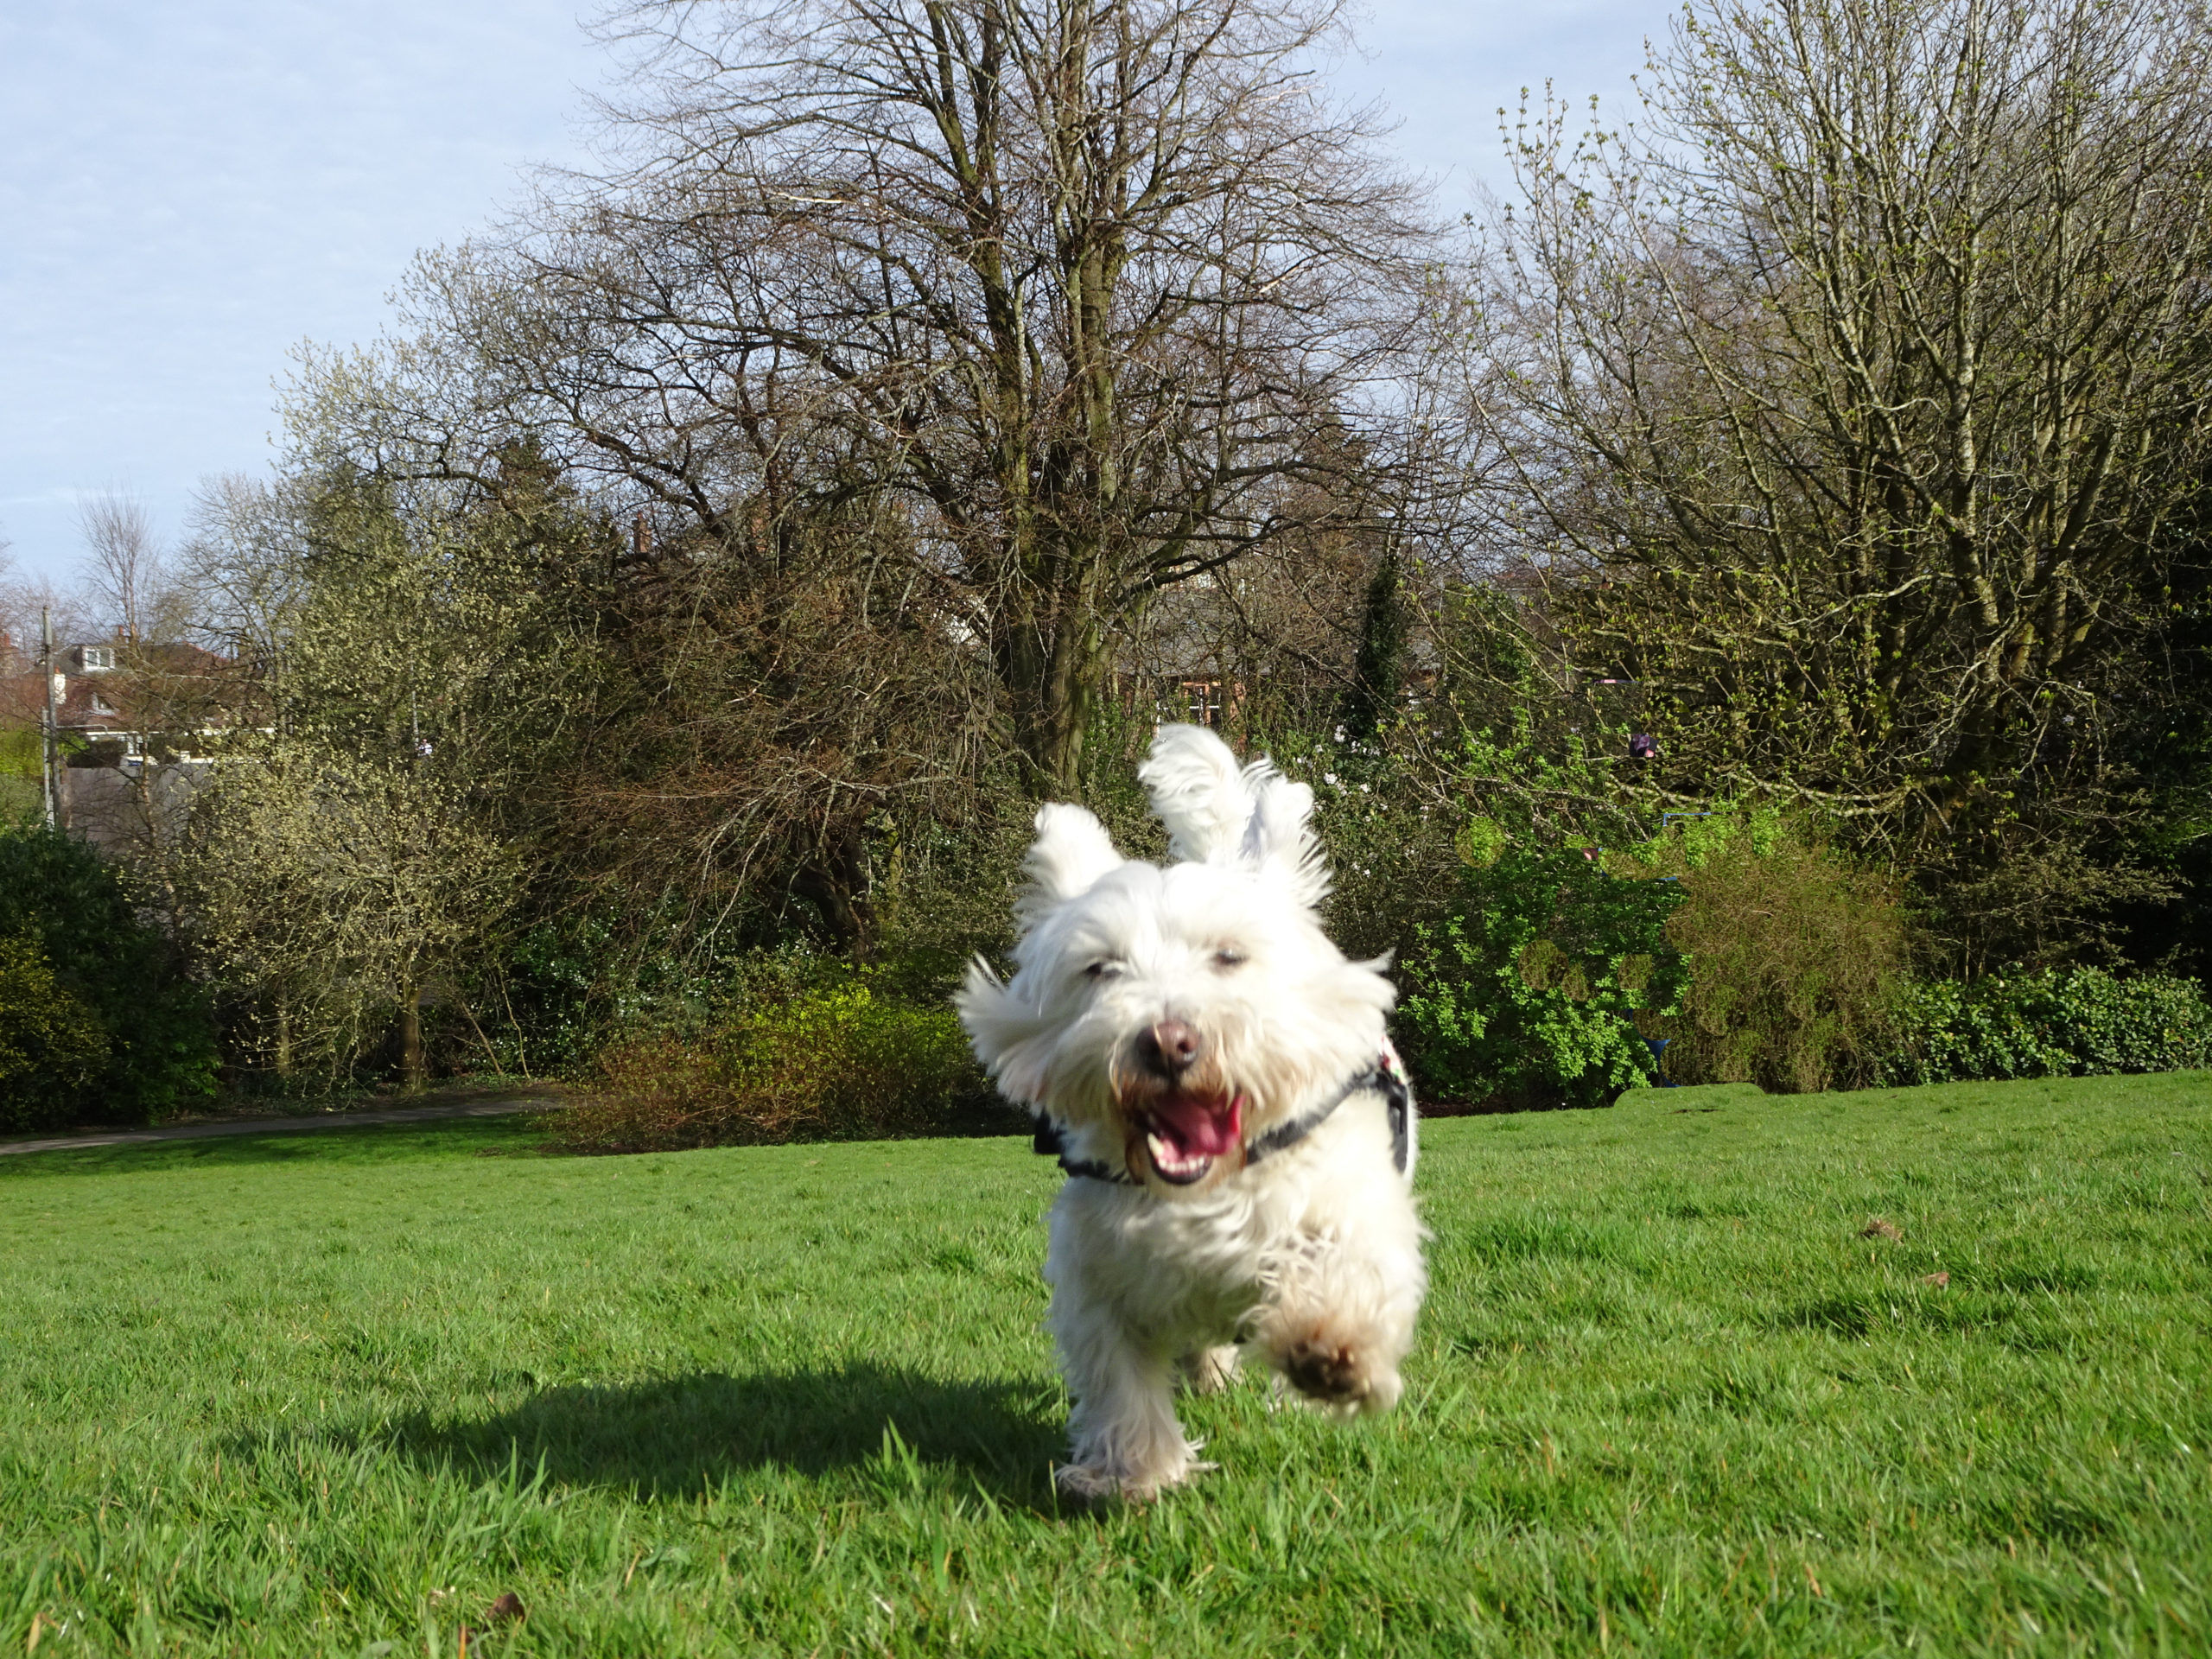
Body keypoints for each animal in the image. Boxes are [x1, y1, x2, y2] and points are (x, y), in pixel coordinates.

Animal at [960, 721, 1424, 1503]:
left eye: (1229, 956)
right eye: (1101, 968)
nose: (1167, 1042)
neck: (1209, 1186)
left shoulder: (1350, 1202)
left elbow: (1345, 1264)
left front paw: (1331, 1349)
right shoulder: (1098, 1272)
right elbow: (1118, 1377)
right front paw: (1135, 1473)